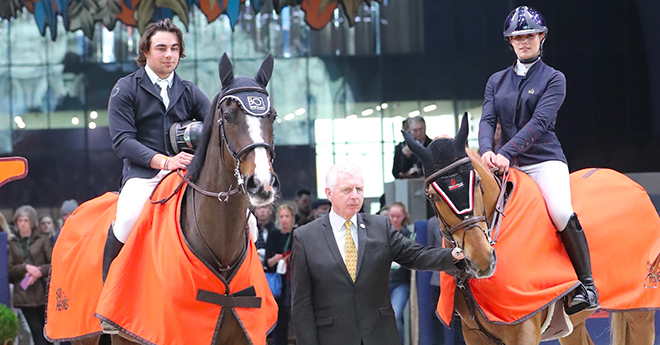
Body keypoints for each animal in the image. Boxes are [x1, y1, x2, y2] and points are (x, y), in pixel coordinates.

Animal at [404, 112, 656, 342]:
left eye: (477, 183)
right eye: (432, 196)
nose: (483, 260)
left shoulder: (523, 328)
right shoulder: (473, 333)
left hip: (641, 312)